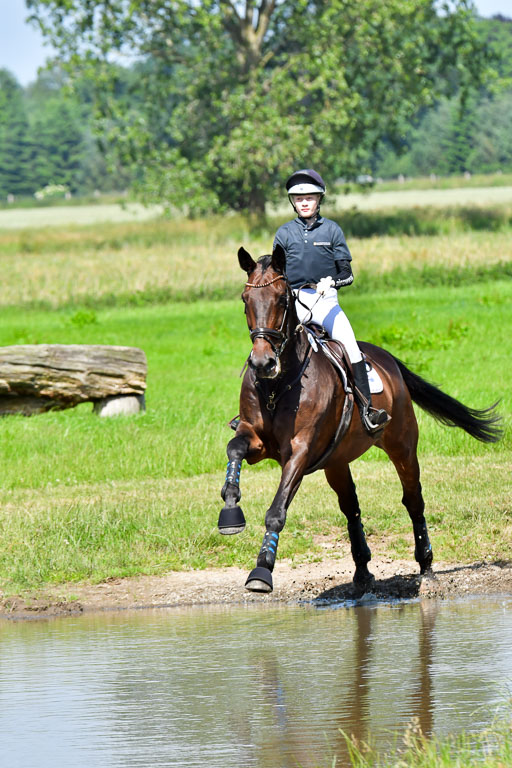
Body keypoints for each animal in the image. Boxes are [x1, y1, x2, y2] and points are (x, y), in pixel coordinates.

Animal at [219, 245, 502, 593]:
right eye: (245, 299)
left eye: (282, 299)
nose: (262, 363)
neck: (278, 385)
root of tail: (387, 359)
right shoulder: (256, 440)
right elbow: (234, 449)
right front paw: (230, 510)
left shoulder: (300, 450)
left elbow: (277, 509)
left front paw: (262, 569)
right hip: (336, 461)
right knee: (351, 507)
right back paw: (363, 572)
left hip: (402, 446)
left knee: (414, 500)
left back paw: (426, 568)